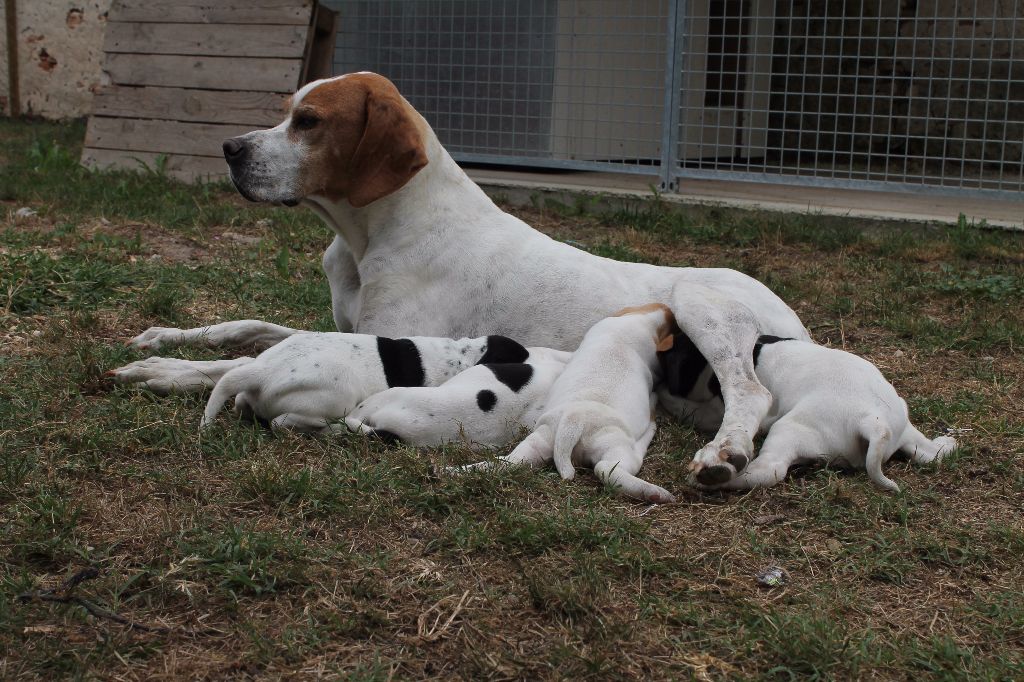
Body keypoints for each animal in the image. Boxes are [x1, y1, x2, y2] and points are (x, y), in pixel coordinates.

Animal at [200, 329, 536, 430]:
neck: (463, 354)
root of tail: (263, 371)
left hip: (250, 391)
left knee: (242, 403)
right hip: (336, 396)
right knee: (282, 422)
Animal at [464, 303, 679, 503]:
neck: (643, 319)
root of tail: (572, 423)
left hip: (542, 437)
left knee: (511, 461)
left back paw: (461, 470)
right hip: (615, 444)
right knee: (608, 469)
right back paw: (655, 489)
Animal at [659, 333, 954, 489]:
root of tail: (875, 422)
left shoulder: (716, 408)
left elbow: (693, 410)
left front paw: (668, 400)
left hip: (790, 428)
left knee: (770, 470)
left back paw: (715, 478)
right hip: (906, 429)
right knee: (929, 454)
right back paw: (946, 444)